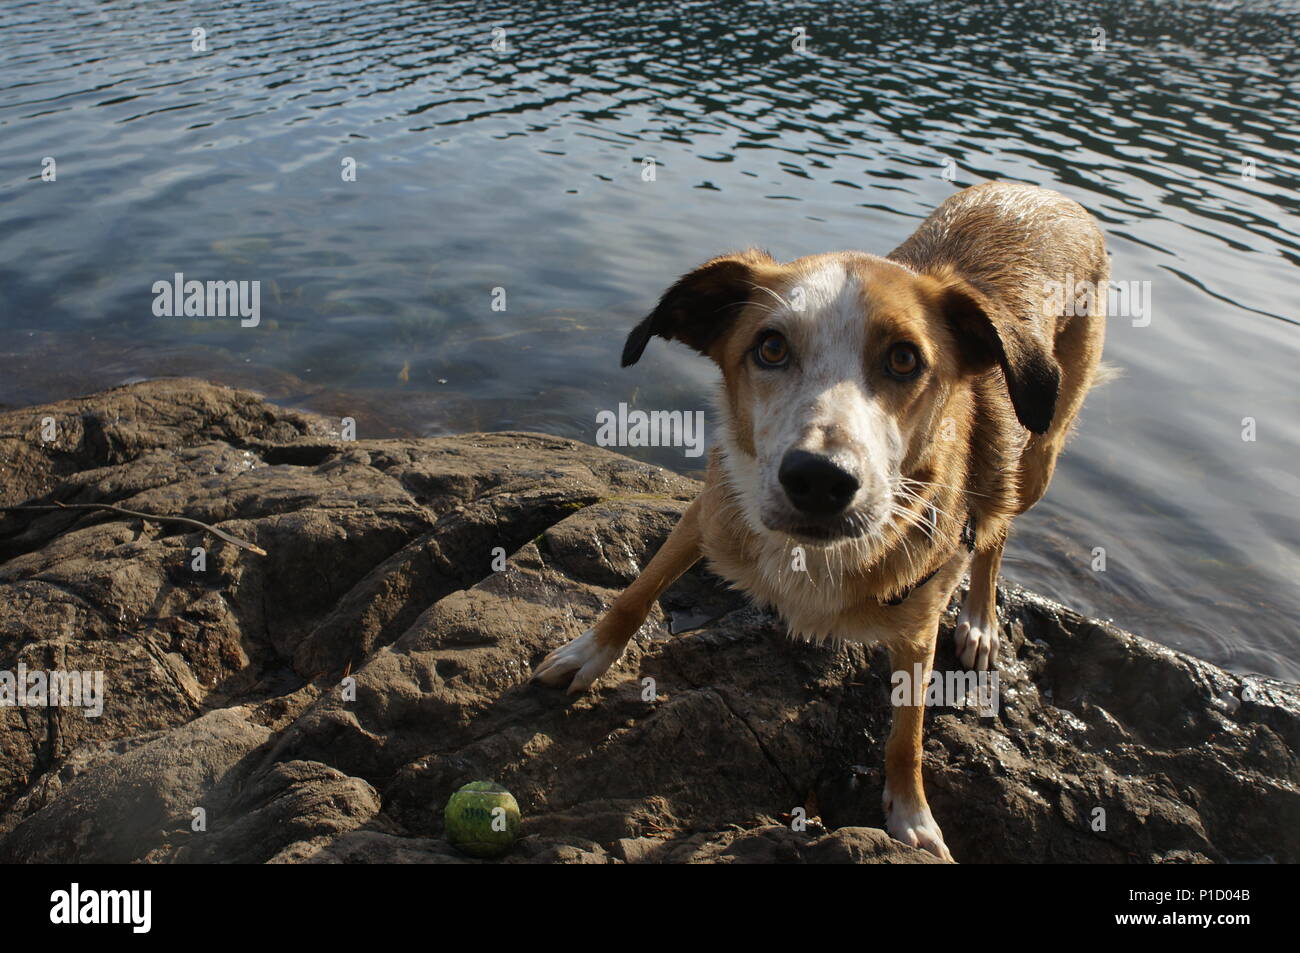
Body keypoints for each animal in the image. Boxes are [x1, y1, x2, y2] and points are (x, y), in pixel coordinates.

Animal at [527, 182, 1107, 858]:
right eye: (771, 347)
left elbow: (906, 737)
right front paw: (587, 654)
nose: (819, 480)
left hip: (1038, 451)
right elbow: (638, 590)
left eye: (905, 359)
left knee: (997, 529)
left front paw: (911, 815)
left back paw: (982, 620)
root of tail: (1043, 192)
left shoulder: (918, 626)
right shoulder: (713, 508)